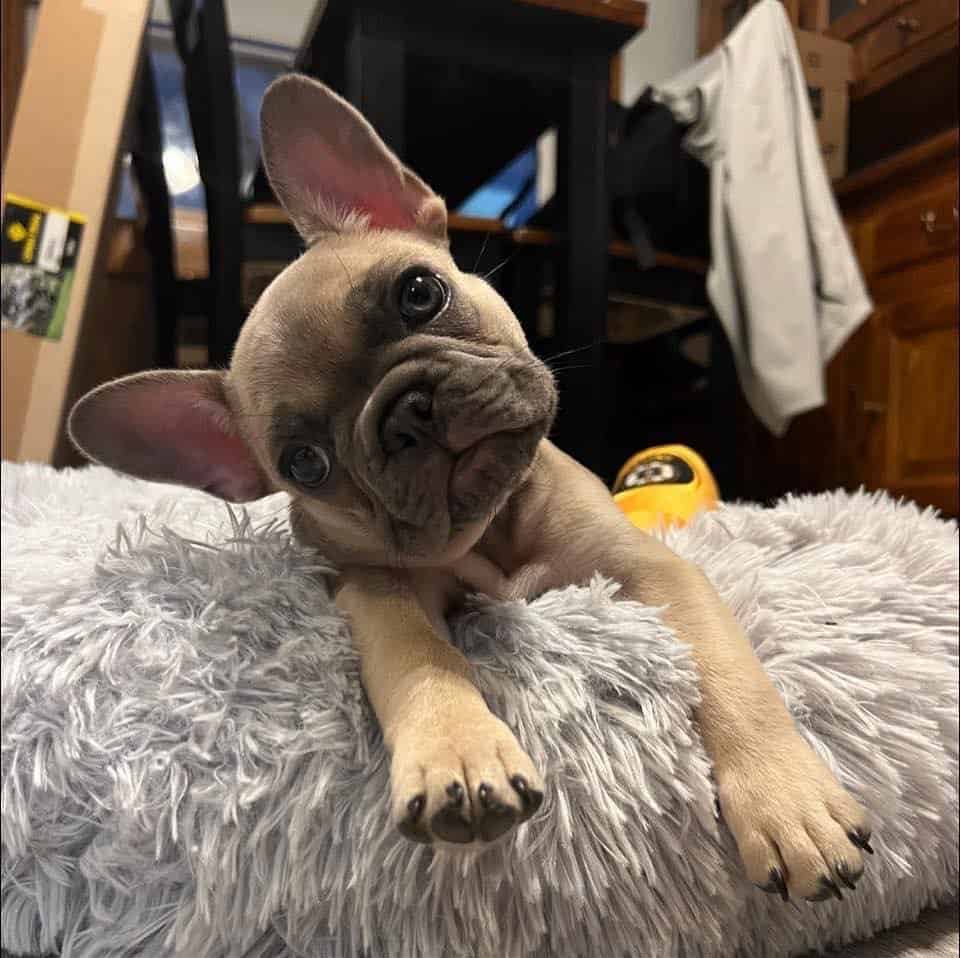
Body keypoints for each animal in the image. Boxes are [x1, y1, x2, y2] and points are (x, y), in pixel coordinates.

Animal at [69, 73, 872, 900]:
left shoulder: (650, 571)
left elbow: (728, 673)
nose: (405, 414)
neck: (491, 525)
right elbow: (422, 659)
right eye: (304, 464)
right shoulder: (378, 590)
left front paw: (786, 799)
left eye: (419, 293)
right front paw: (458, 752)